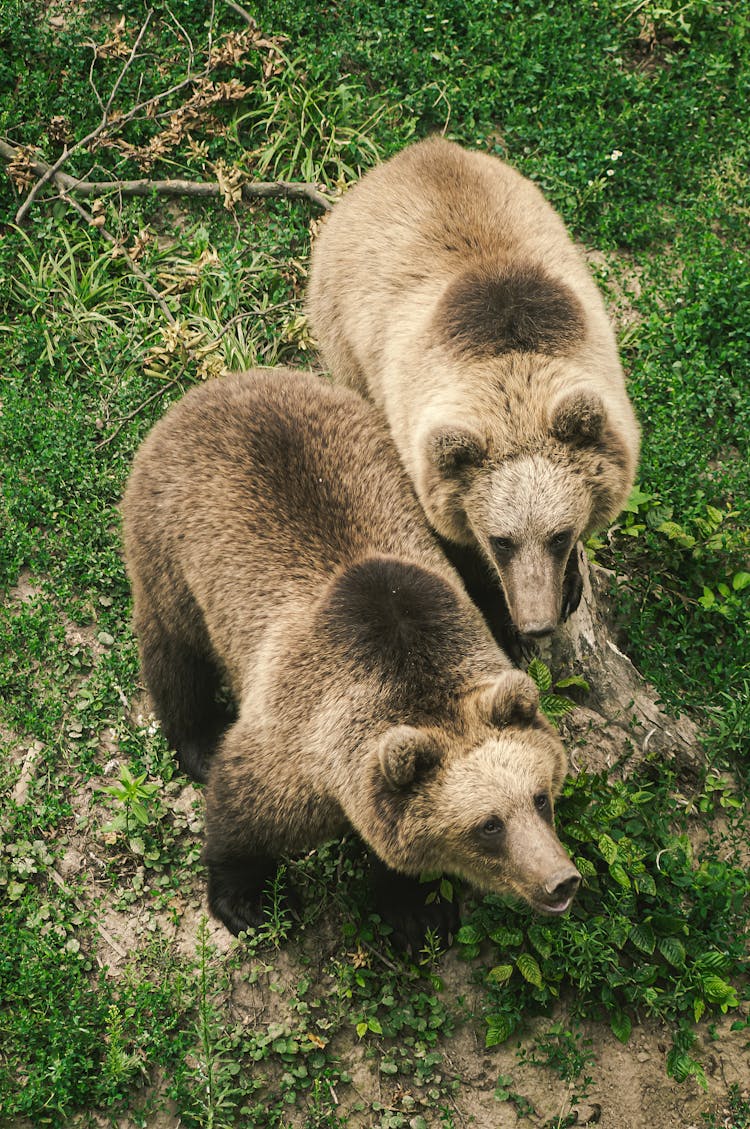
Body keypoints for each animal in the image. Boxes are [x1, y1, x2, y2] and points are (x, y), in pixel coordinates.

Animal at [121, 370, 578, 943]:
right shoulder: (300, 743)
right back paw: (198, 738)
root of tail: (228, 382)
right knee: (173, 649)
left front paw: (417, 909)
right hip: (170, 543)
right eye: (489, 825)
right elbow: (243, 808)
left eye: (540, 797)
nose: (561, 879)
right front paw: (250, 900)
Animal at [304, 136, 637, 650]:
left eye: (559, 536)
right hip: (339, 322)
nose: (536, 622)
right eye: (501, 541)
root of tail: (415, 152)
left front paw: (571, 584)